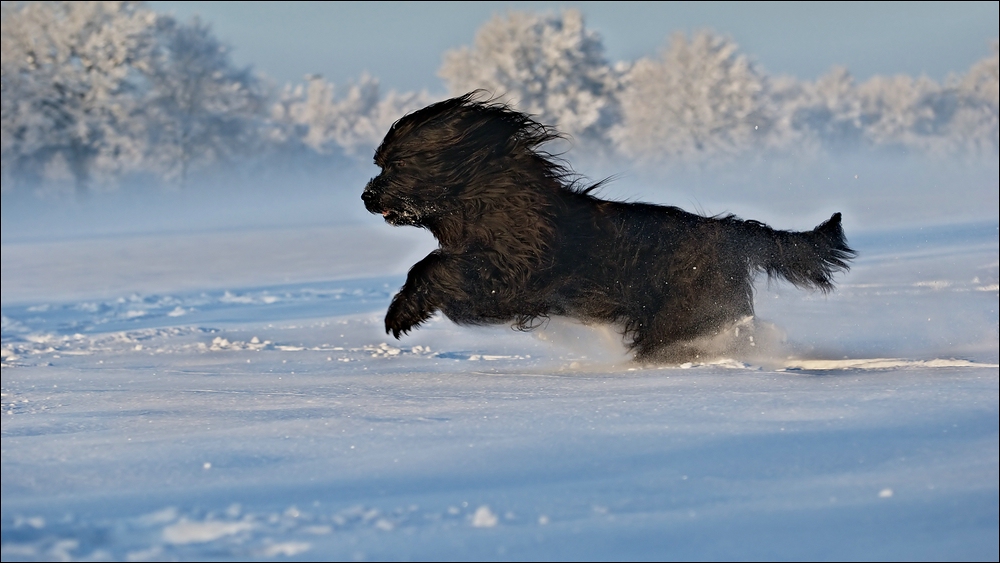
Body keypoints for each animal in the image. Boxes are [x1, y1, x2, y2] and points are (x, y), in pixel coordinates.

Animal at [360, 92, 852, 362]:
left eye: (396, 164)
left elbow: (438, 266)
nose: (367, 197)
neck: (489, 198)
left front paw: (401, 314)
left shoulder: (511, 273)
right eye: (380, 162)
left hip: (681, 311)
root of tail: (732, 232)